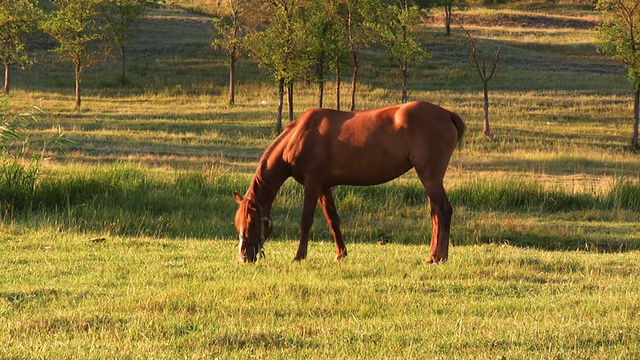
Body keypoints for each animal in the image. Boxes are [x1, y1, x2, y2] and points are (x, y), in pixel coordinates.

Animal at [232, 100, 462, 262]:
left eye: (252, 222)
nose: (244, 257)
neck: (298, 136)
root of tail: (447, 115)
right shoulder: (324, 186)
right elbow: (333, 220)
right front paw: (341, 254)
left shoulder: (312, 183)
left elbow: (306, 220)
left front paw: (299, 255)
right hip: (429, 179)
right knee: (435, 214)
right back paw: (434, 255)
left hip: (430, 177)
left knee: (443, 211)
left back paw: (438, 257)